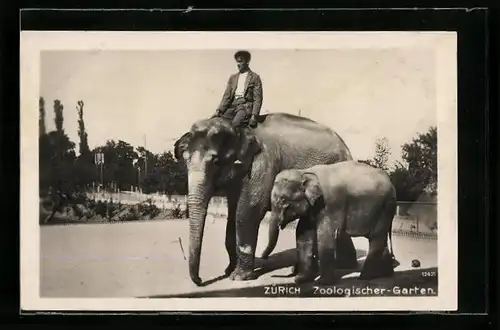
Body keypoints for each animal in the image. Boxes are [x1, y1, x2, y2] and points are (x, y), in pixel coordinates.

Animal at [174, 112, 354, 284]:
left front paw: (238, 277)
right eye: (185, 160)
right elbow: (232, 214)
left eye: (216, 162)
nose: (200, 280)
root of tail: (347, 149)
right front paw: (228, 271)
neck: (238, 128)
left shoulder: (261, 164)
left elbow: (247, 211)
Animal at [260, 160, 396, 284]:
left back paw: (365, 276)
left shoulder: (331, 202)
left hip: (384, 208)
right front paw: (300, 280)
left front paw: (321, 283)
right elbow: (303, 235)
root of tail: (391, 183)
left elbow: (326, 235)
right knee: (379, 238)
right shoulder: (312, 207)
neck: (305, 173)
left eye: (283, 200)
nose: (263, 257)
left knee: (376, 238)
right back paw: (384, 274)